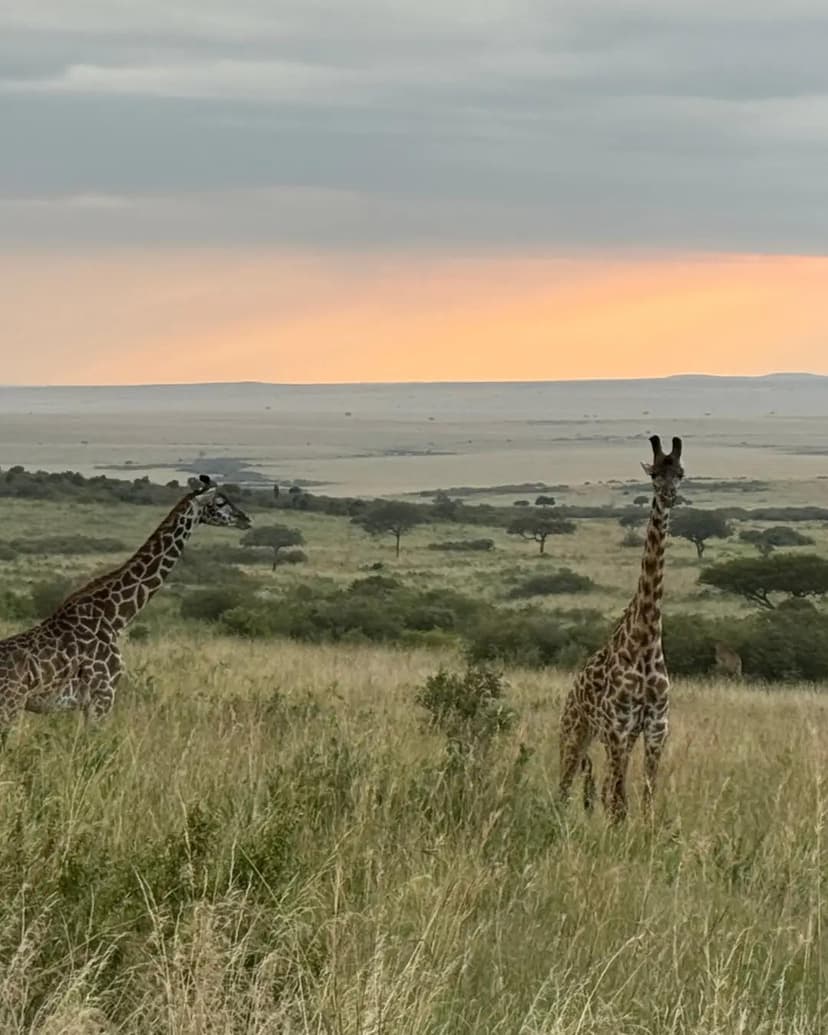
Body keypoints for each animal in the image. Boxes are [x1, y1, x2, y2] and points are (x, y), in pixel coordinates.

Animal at [0, 476, 251, 742]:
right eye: (220, 501)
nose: (246, 519)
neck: (114, 617)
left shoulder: (93, 701)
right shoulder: (103, 695)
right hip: (10, 707)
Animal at [558, 435, 684, 822]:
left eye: (680, 474)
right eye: (654, 473)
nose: (668, 496)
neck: (646, 637)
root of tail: (571, 690)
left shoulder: (656, 727)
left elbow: (645, 799)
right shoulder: (618, 726)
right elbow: (618, 803)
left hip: (614, 739)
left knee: (600, 788)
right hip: (574, 733)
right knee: (565, 786)